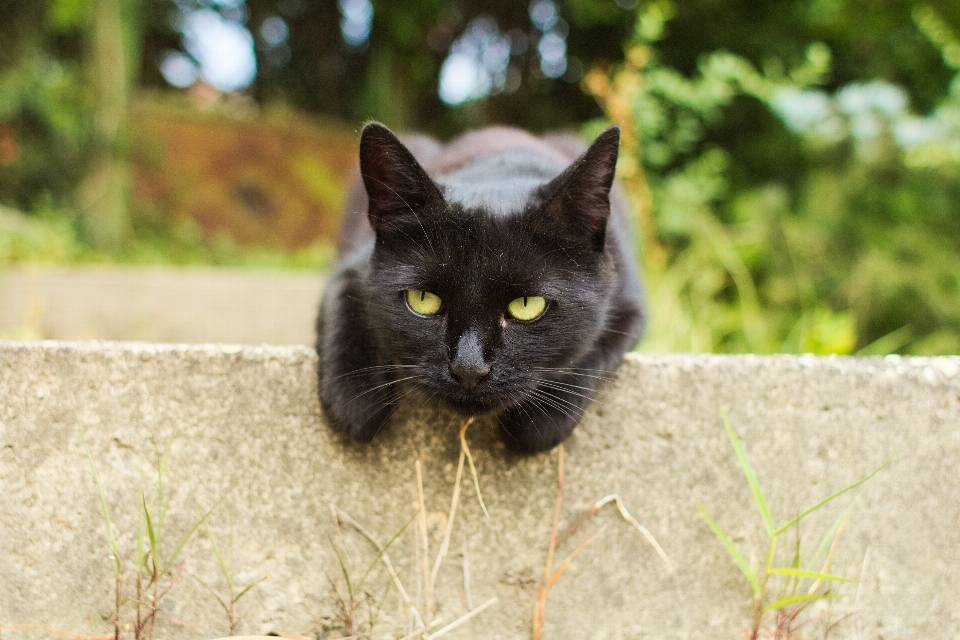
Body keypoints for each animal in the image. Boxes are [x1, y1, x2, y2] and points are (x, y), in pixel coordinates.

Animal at [316, 119, 644, 450]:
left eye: (527, 305)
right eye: (422, 299)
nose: (469, 370)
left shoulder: (631, 303)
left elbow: (594, 348)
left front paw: (539, 421)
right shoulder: (352, 269)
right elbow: (345, 307)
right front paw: (355, 398)